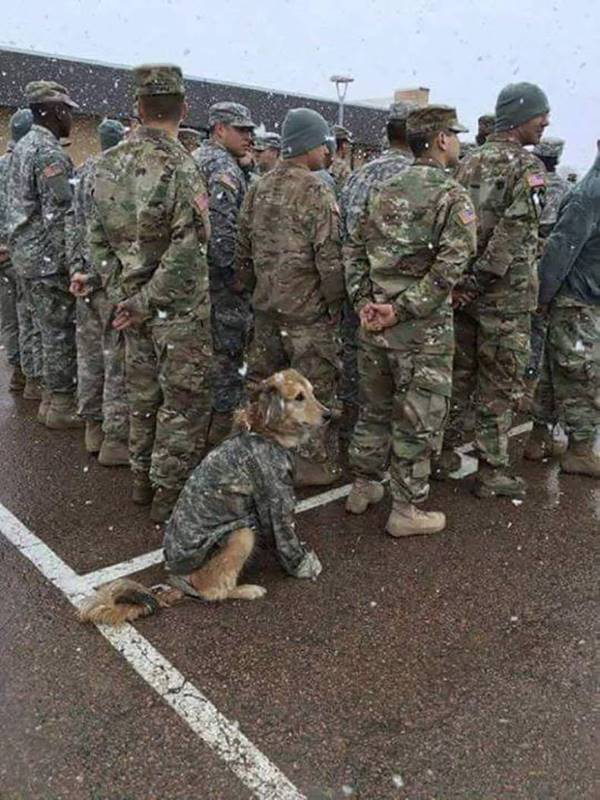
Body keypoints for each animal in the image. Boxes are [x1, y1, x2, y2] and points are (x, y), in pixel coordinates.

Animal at [79, 369, 328, 626]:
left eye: (312, 392)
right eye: (298, 397)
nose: (329, 415)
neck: (263, 431)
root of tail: (177, 583)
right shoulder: (276, 495)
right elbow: (285, 533)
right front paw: (305, 566)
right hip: (240, 535)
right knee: (213, 592)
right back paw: (247, 590)